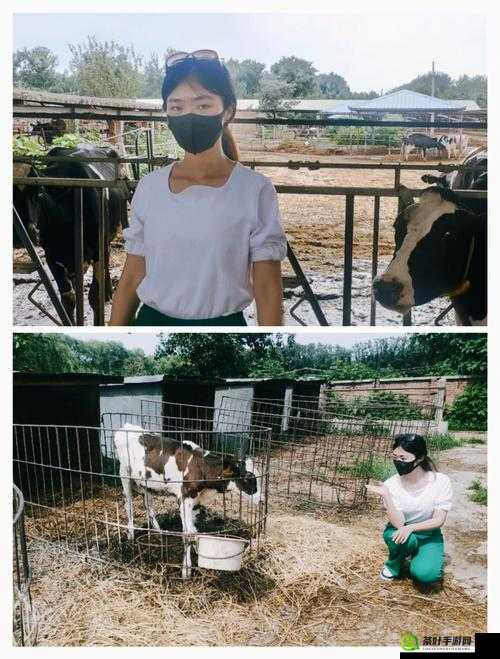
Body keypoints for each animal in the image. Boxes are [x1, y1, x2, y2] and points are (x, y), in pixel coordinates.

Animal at [14, 143, 130, 324]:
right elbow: (68, 298)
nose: (19, 235)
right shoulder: (53, 257)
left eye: (39, 191)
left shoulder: (98, 248)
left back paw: (108, 293)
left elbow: (95, 296)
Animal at [113, 428, 262, 576]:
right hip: (124, 475)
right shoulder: (185, 500)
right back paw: (131, 535)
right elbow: (187, 534)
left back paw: (158, 530)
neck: (200, 468)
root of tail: (125, 428)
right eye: (249, 478)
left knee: (148, 504)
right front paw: (186, 569)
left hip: (147, 484)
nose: (261, 500)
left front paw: (198, 550)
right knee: (129, 505)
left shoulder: (196, 501)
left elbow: (194, 530)